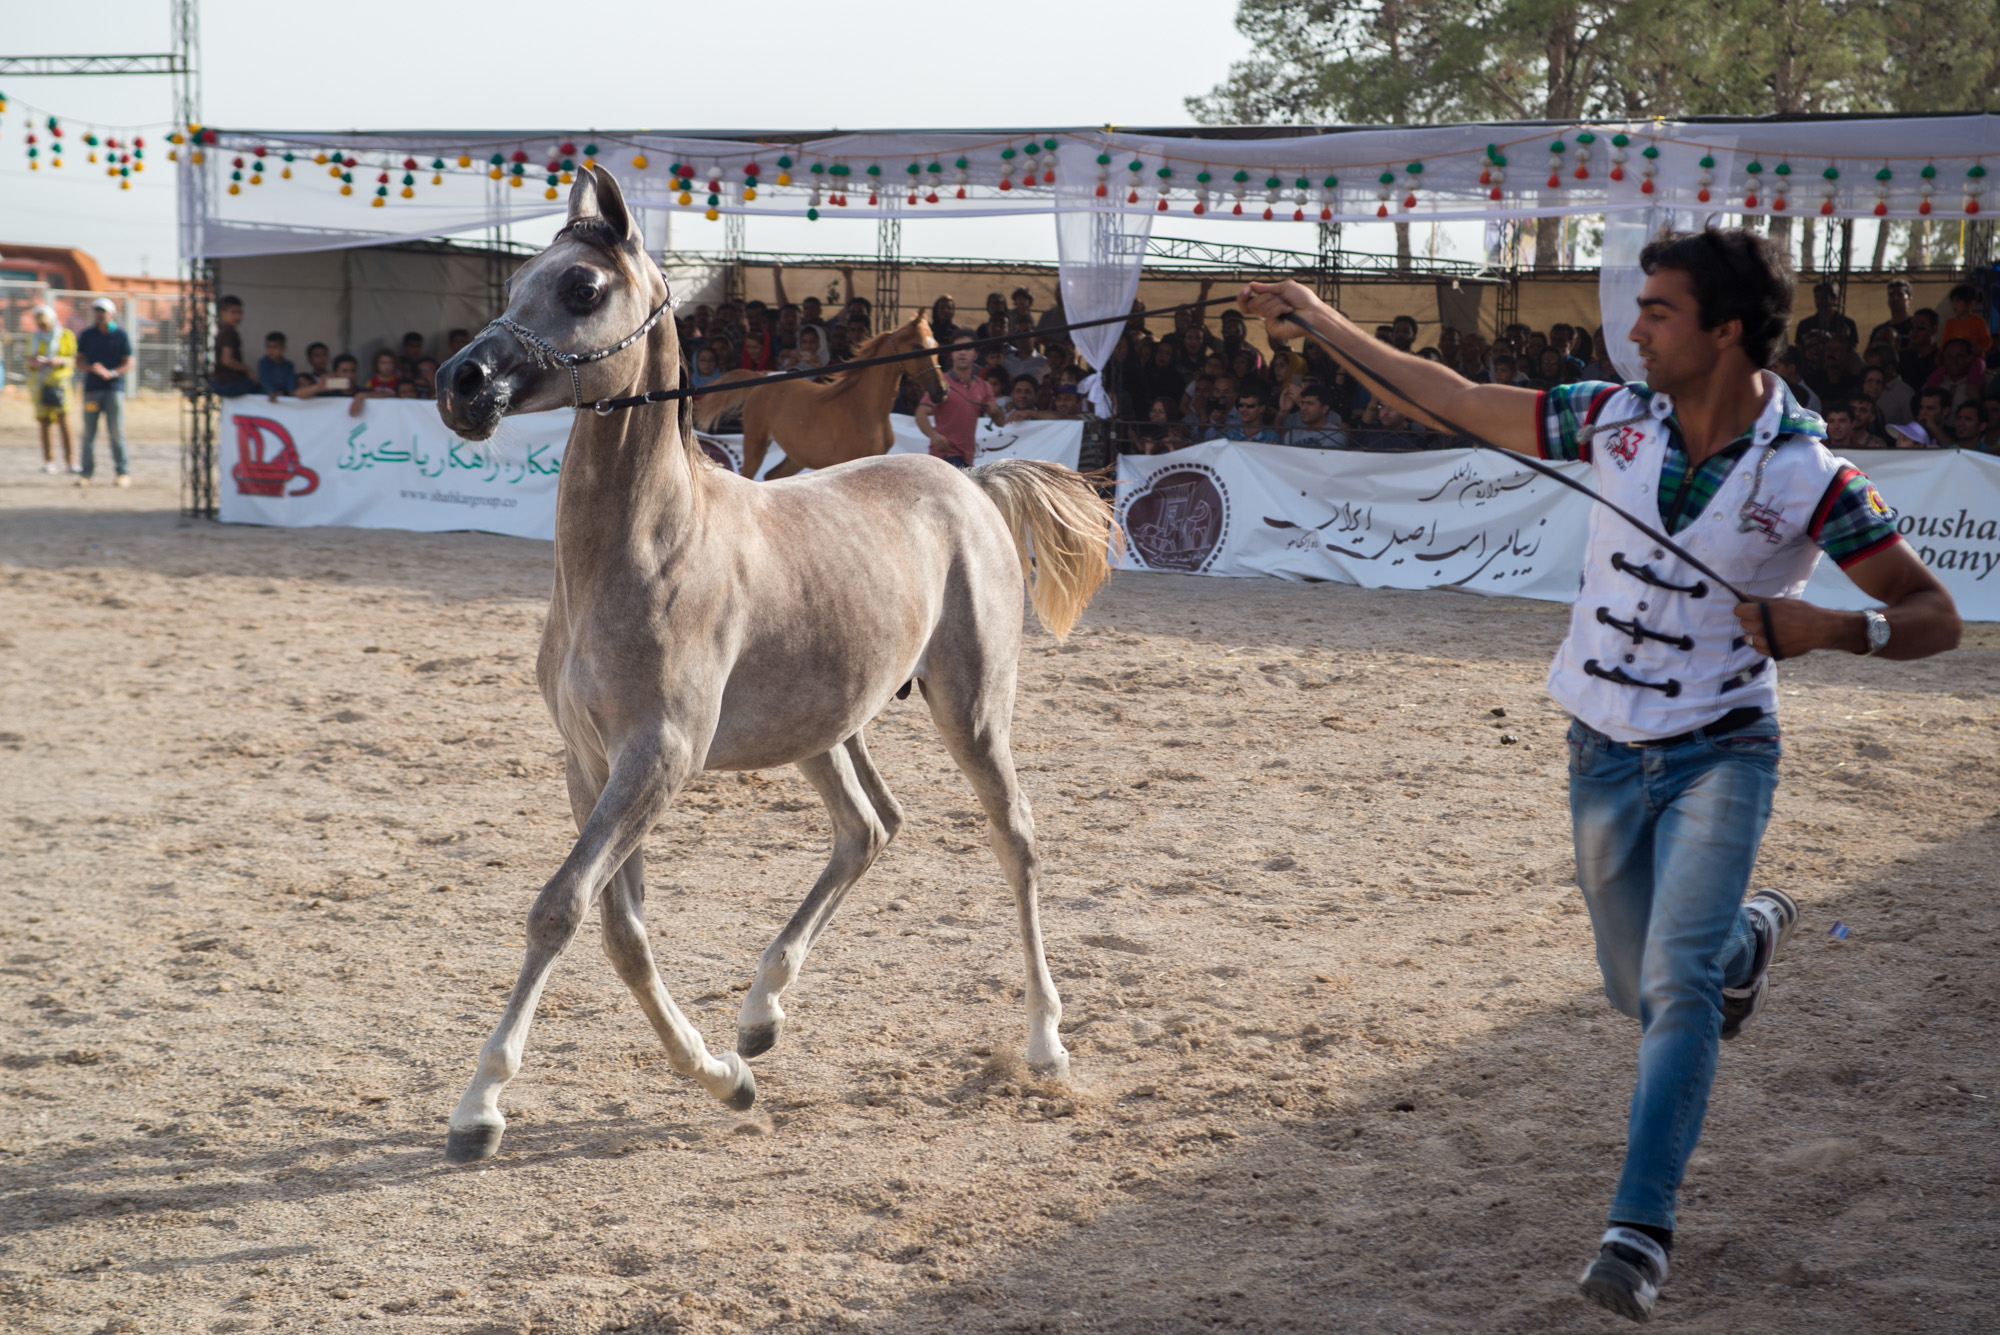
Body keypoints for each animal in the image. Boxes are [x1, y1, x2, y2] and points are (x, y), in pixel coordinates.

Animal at [696, 313, 944, 479]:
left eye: (936, 343)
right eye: (918, 346)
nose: (941, 391)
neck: (864, 406)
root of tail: (763, 375)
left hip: (795, 455)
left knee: (772, 477)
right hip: (756, 443)